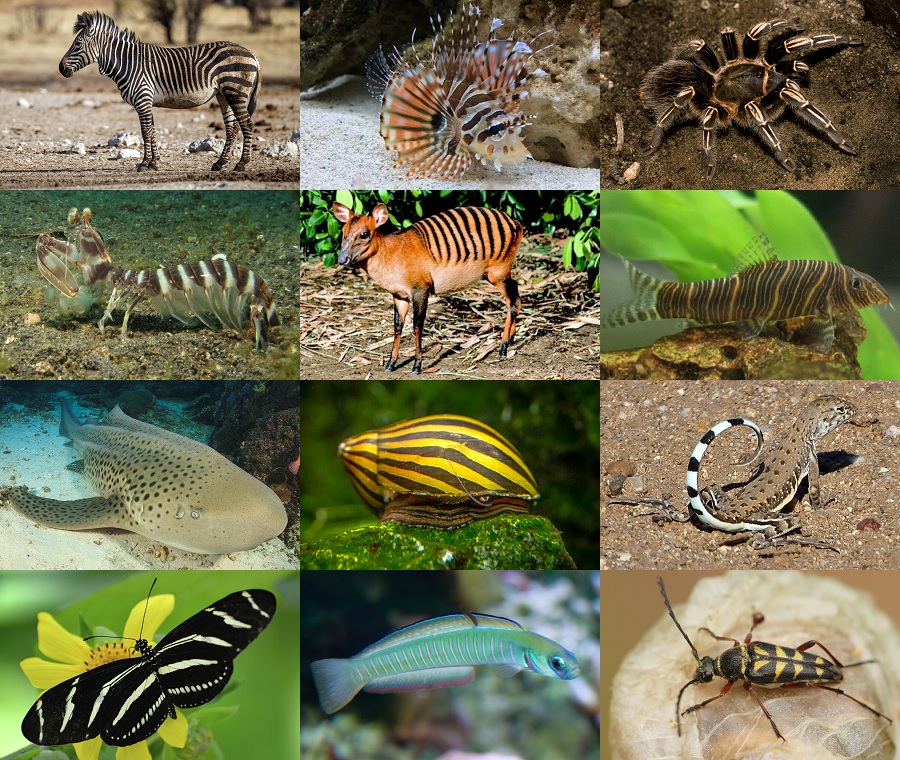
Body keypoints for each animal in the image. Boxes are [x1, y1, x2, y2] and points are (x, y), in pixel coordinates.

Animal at [59, 11, 260, 172]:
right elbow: (152, 130)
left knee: (247, 125)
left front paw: (144, 164)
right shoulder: (146, 101)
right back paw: (219, 164)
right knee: (232, 128)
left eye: (77, 44)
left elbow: (145, 131)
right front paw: (153, 163)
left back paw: (241, 164)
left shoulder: (142, 99)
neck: (128, 63)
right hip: (223, 95)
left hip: (235, 92)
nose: (61, 68)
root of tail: (252, 54)